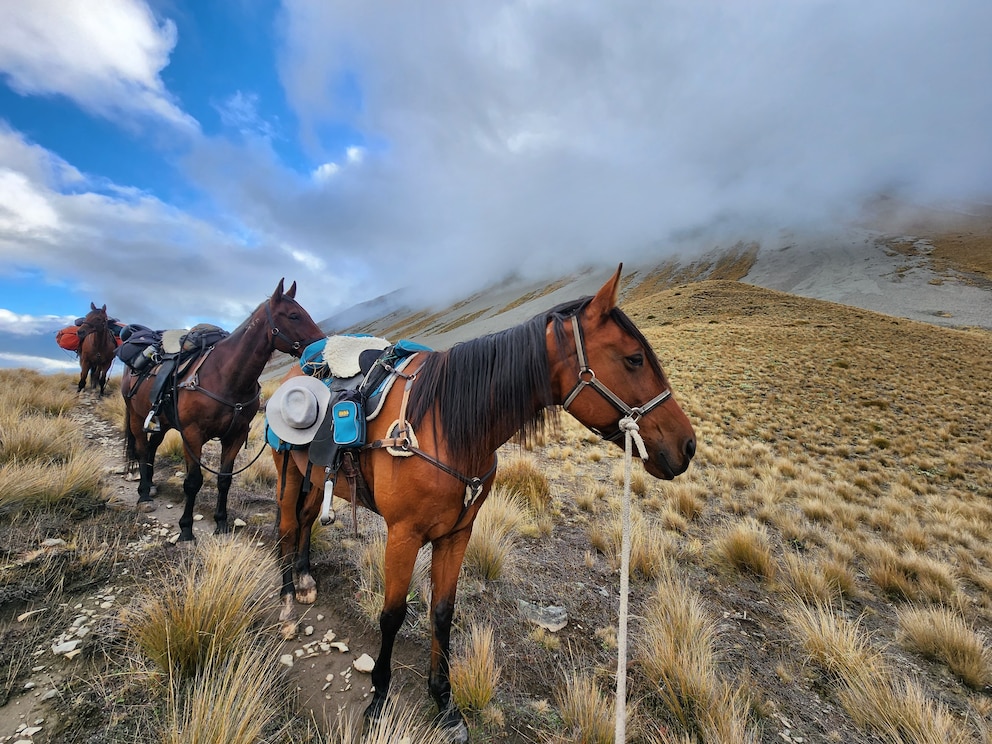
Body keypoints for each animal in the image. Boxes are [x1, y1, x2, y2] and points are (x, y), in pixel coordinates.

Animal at [119, 280, 322, 540]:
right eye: (294, 316)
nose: (323, 348)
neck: (226, 377)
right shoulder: (192, 436)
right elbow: (193, 481)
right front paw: (186, 529)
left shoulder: (234, 436)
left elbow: (224, 481)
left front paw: (221, 523)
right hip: (136, 416)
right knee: (143, 450)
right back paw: (144, 494)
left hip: (162, 423)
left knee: (152, 447)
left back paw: (151, 485)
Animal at [268, 264, 692, 740]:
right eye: (634, 358)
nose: (688, 445)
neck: (447, 423)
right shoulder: (403, 535)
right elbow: (392, 614)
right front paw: (378, 699)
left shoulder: (456, 534)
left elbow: (442, 612)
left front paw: (445, 703)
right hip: (288, 473)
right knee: (286, 526)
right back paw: (287, 603)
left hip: (311, 476)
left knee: (305, 520)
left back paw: (305, 579)